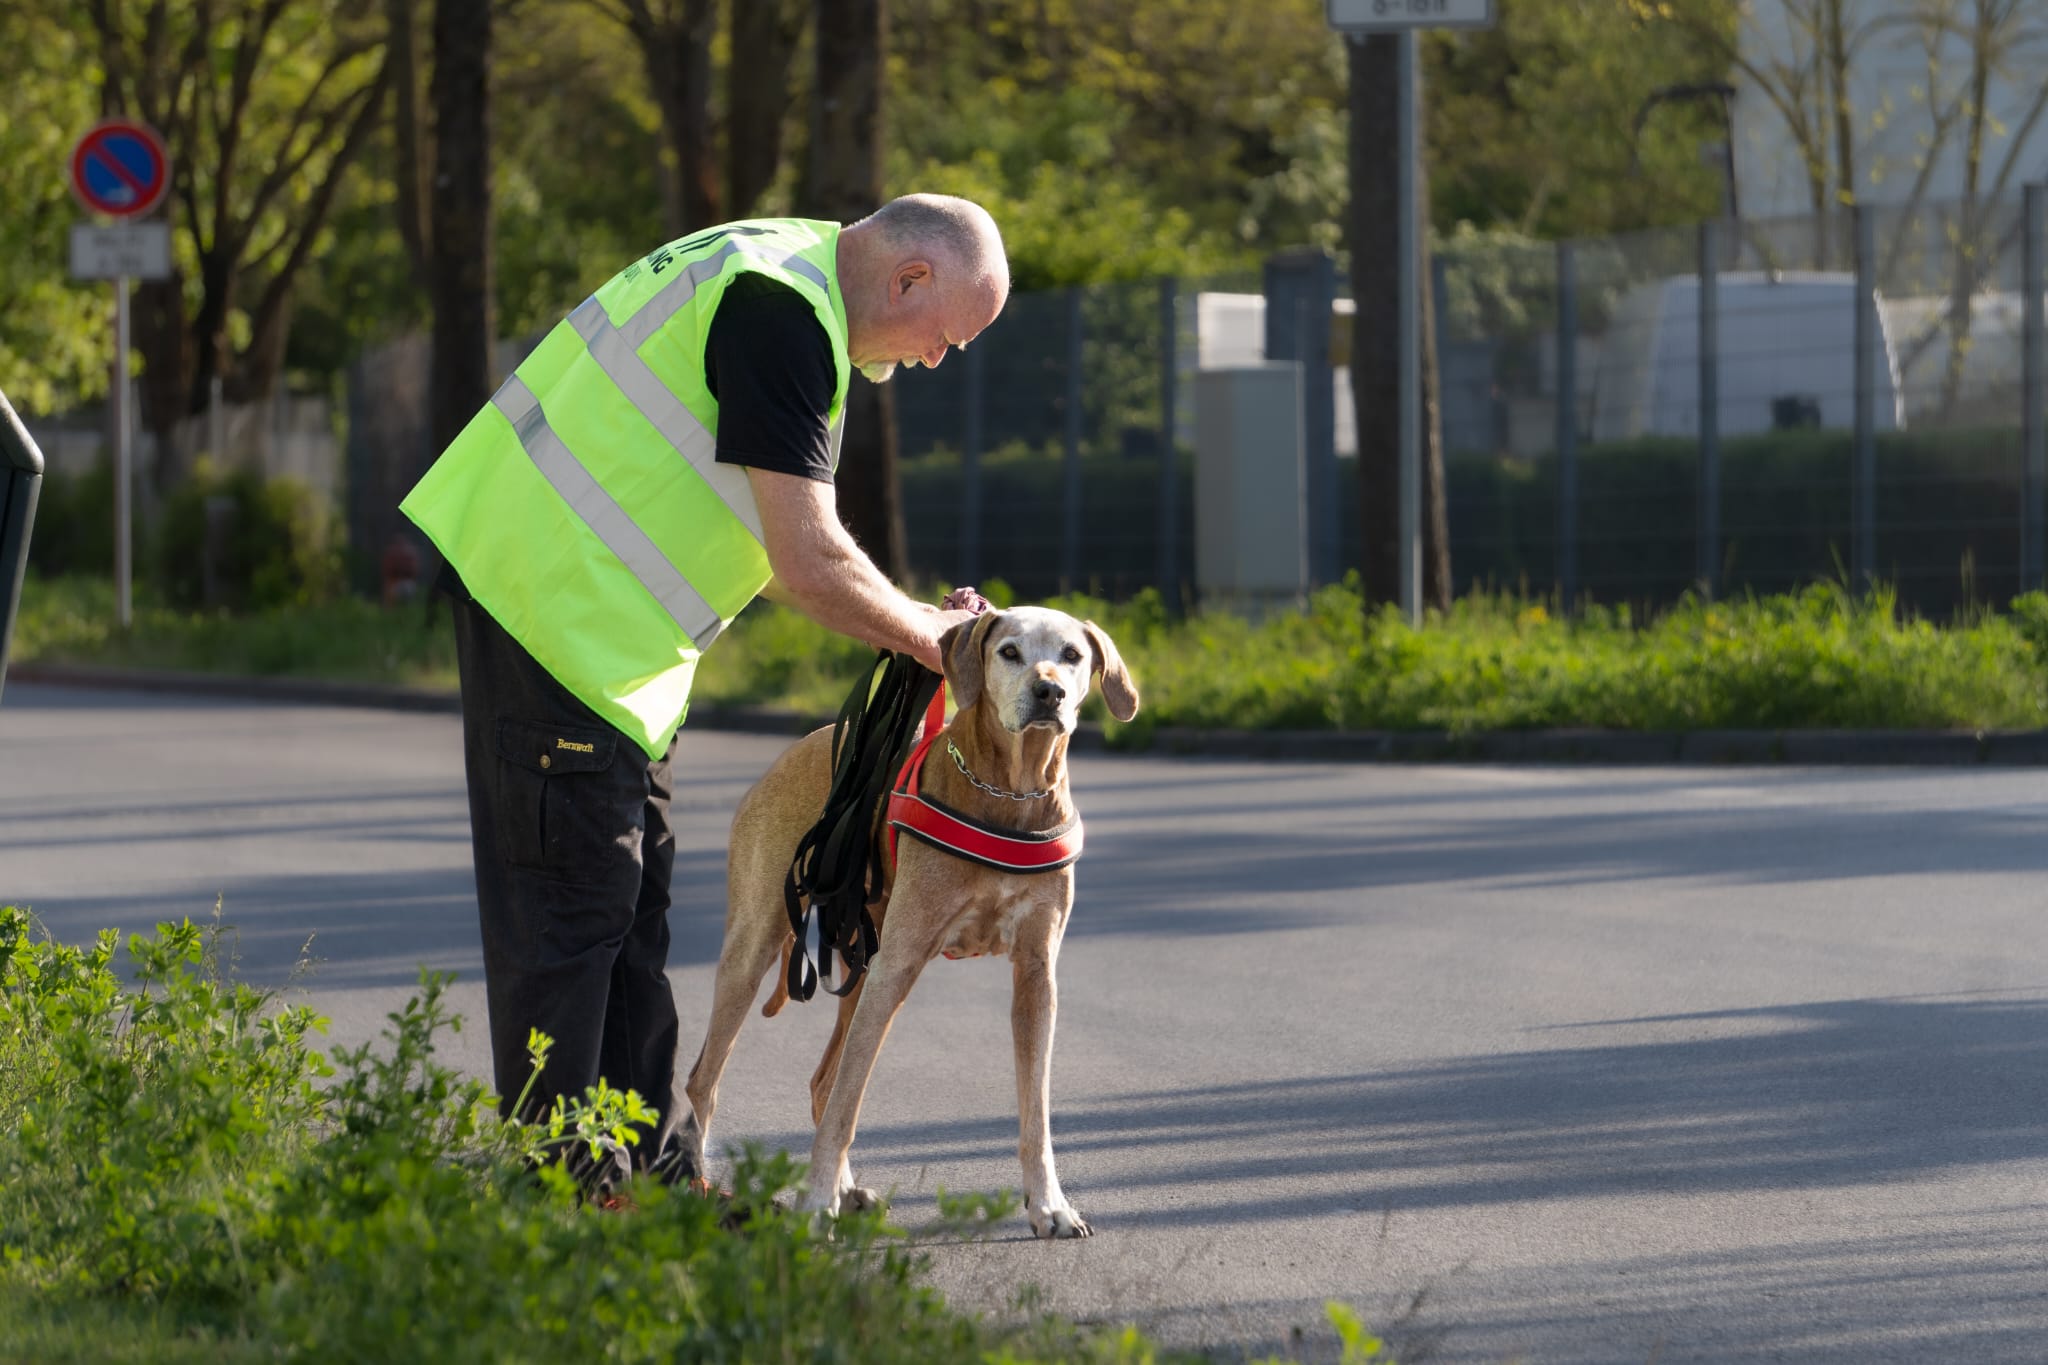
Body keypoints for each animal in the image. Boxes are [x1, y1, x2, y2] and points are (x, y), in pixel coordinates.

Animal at [684, 609, 1138, 1236]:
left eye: (1072, 655)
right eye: (1010, 651)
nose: (1050, 692)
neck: (1011, 794)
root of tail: (795, 752)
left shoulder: (1036, 977)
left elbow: (1036, 1114)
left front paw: (1050, 1205)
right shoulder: (898, 966)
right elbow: (847, 1106)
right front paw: (815, 1206)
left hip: (860, 967)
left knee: (822, 1082)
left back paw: (846, 1191)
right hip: (758, 955)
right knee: (709, 1082)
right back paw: (702, 1189)